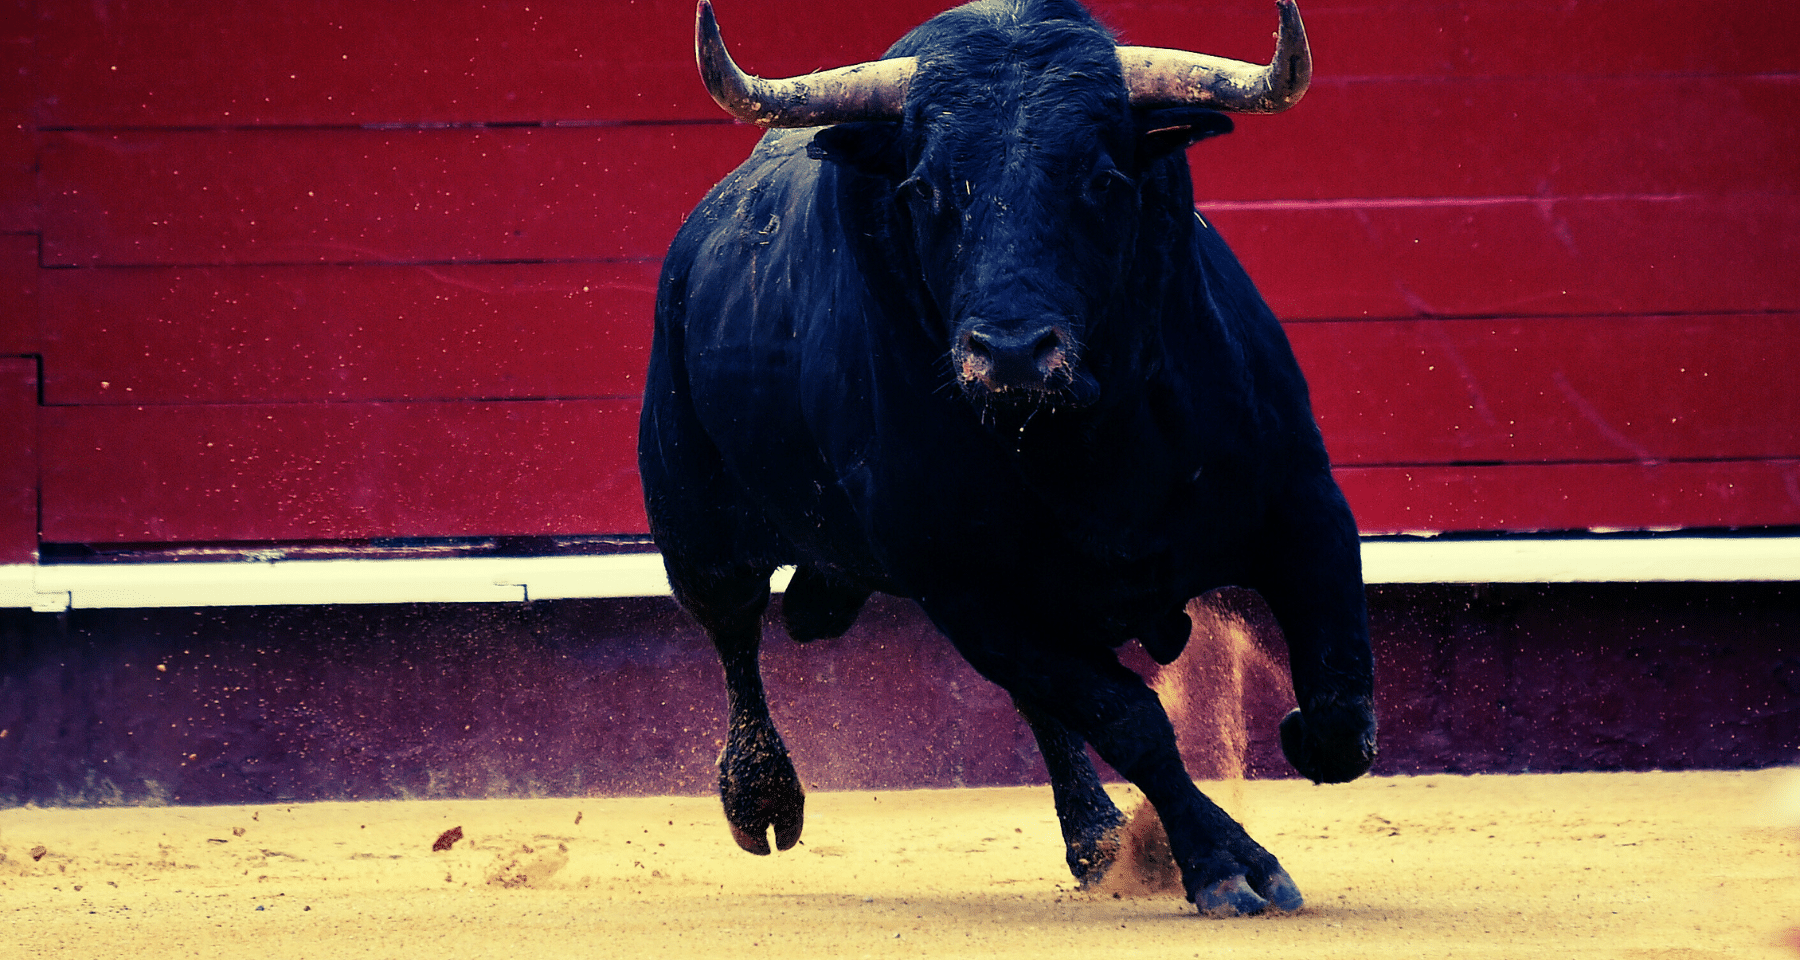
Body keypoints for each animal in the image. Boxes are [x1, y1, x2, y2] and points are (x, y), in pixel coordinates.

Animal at [639, 0, 1376, 916]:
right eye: (922, 189)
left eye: (1104, 180)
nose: (1014, 353)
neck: (1087, 441)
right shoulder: (967, 590)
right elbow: (1130, 720)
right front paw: (1224, 862)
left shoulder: (1305, 504)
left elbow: (1339, 699)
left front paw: (1296, 743)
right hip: (695, 523)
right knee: (734, 631)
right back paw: (763, 800)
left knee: (1039, 705)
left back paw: (1097, 838)